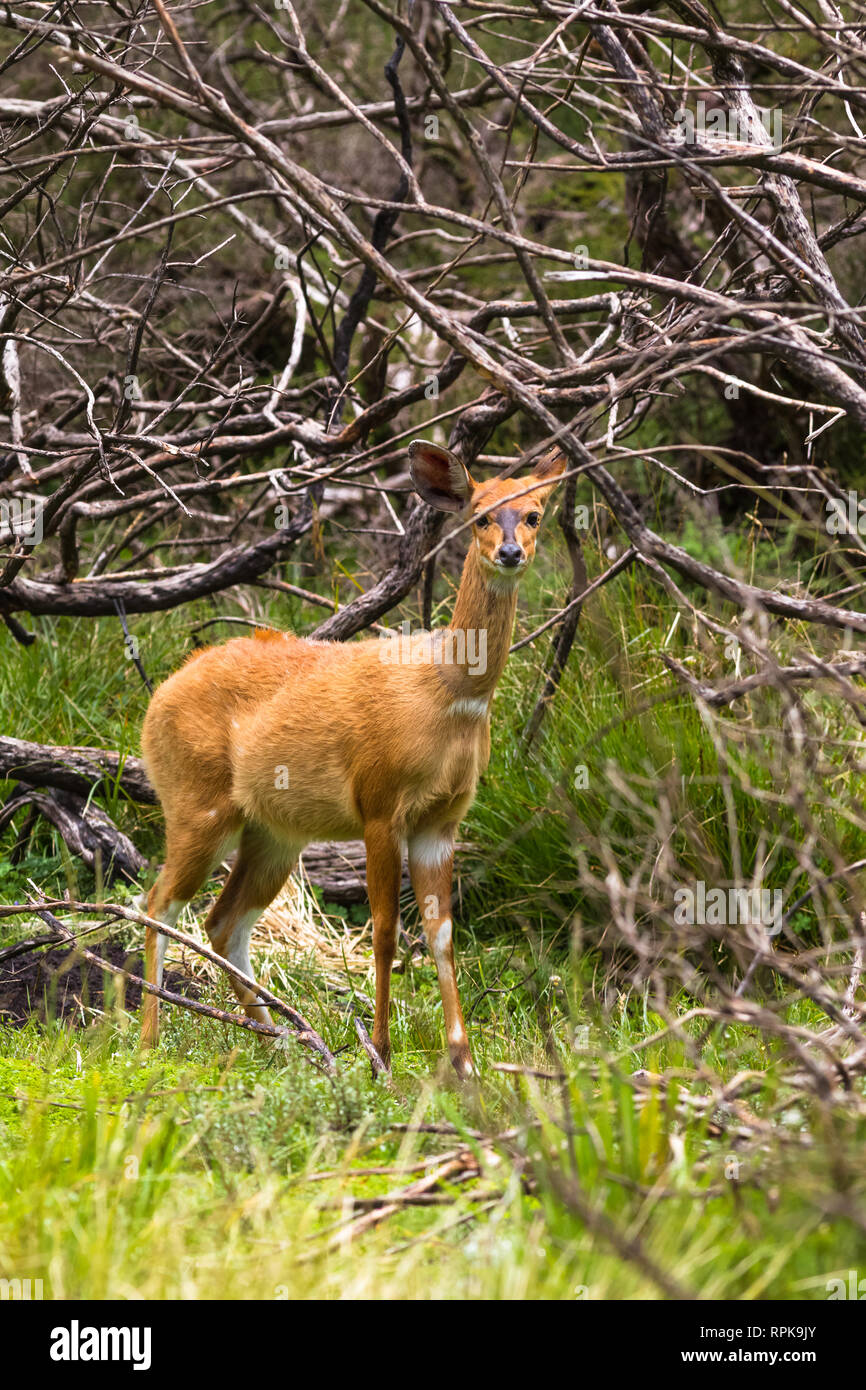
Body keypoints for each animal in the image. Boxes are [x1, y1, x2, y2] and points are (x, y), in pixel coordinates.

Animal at [139, 439, 567, 1067]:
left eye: (535, 514)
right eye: (480, 515)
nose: (510, 551)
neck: (446, 691)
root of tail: (157, 697)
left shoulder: (442, 819)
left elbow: (442, 934)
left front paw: (463, 1060)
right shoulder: (379, 802)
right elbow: (386, 929)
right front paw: (382, 1053)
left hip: (274, 830)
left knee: (224, 921)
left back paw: (280, 1039)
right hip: (196, 800)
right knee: (159, 903)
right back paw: (147, 1039)